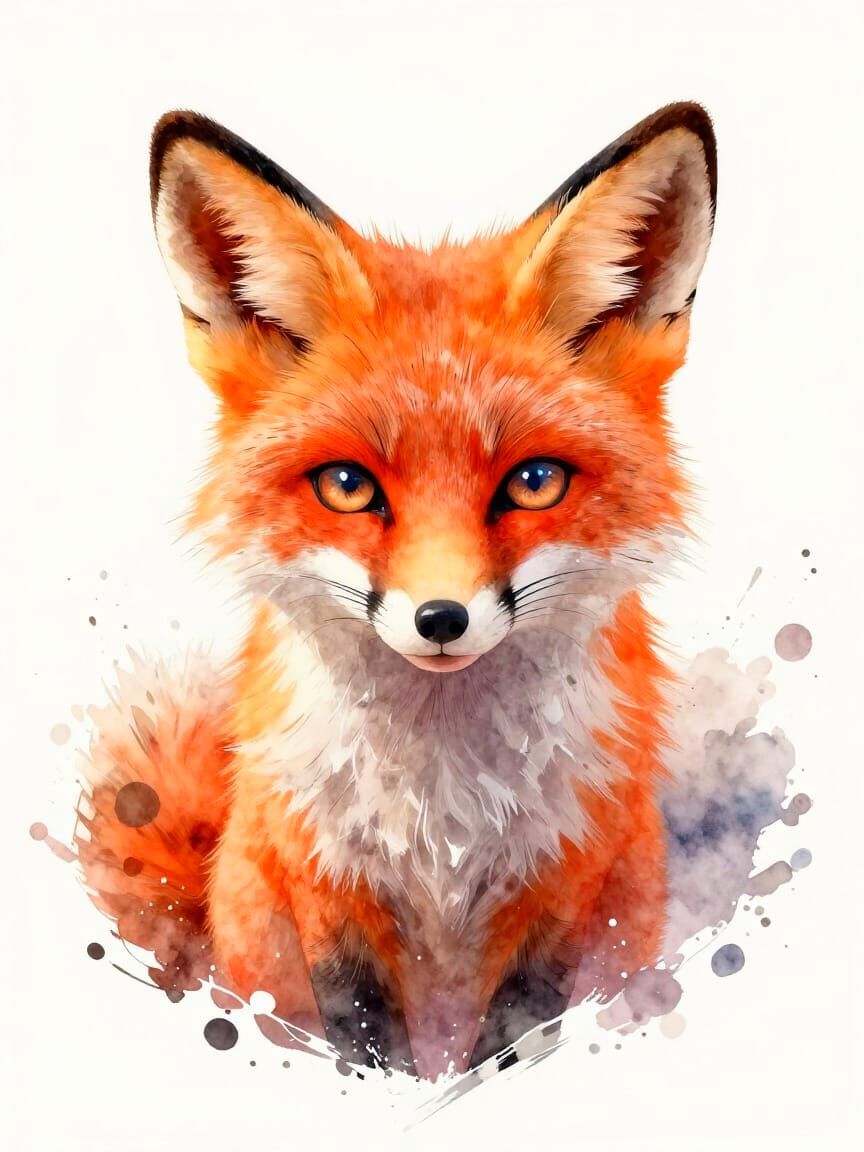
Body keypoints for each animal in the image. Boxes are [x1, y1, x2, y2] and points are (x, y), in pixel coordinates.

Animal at [76, 102, 716, 1081]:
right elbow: (365, 1044)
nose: (440, 618)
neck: (442, 811)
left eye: (534, 482)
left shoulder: (567, 883)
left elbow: (517, 1033)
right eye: (347, 486)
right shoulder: (325, 887)